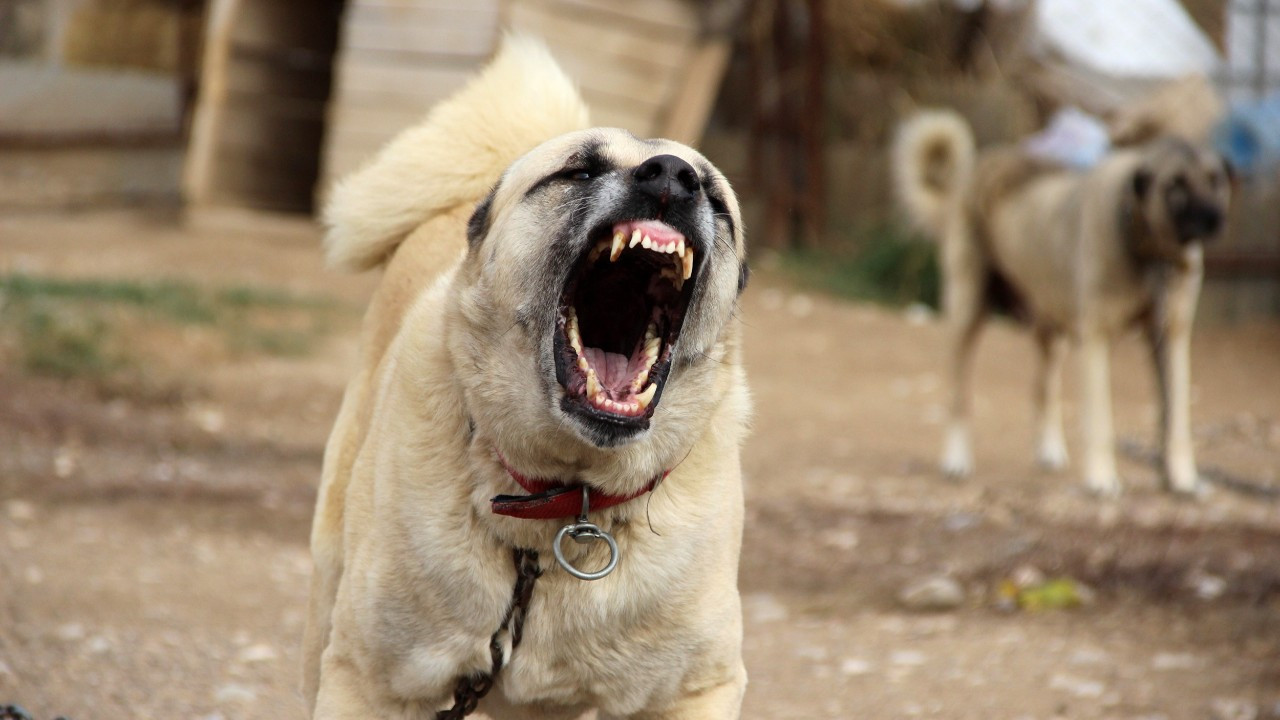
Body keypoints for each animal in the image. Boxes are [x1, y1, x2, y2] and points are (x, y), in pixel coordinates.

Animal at [304, 39, 752, 717]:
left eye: (717, 201)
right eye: (581, 172)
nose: (674, 175)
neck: (564, 508)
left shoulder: (695, 691)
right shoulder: (370, 682)